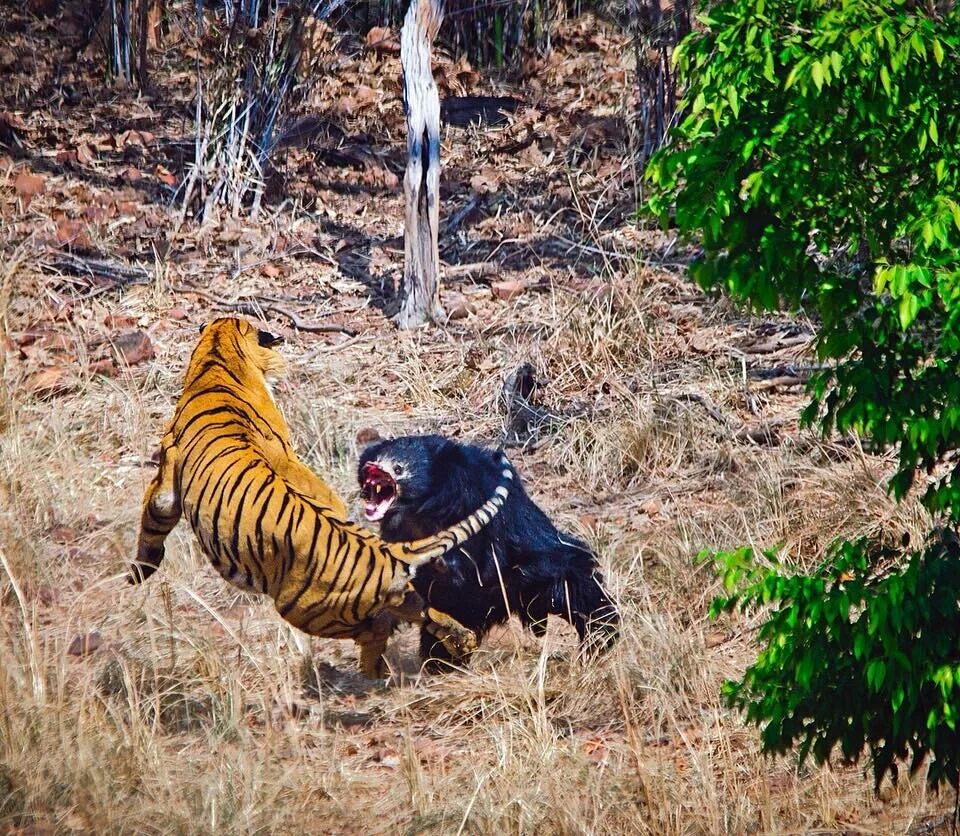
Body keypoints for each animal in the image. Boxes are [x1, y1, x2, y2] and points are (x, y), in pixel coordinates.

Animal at [133, 316, 516, 676]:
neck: (219, 355)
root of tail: (387, 552)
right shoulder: (287, 456)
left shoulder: (166, 481)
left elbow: (154, 517)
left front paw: (139, 572)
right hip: (394, 598)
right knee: (423, 611)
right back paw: (459, 642)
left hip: (303, 609)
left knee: (377, 628)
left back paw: (374, 670)